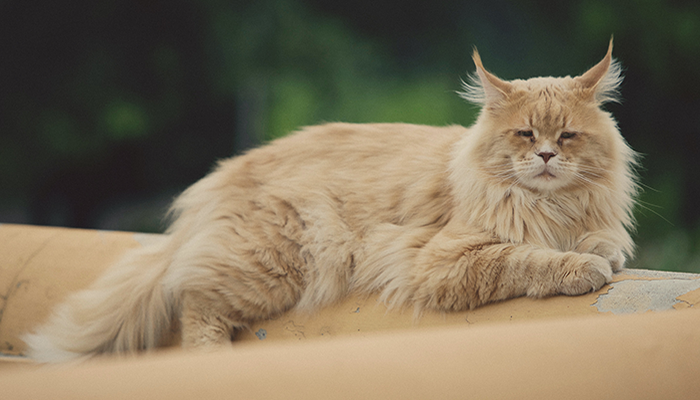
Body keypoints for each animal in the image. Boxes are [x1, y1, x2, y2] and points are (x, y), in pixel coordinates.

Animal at [23, 40, 636, 362]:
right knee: (195, 301)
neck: (551, 207)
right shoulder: (443, 260)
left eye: (568, 137)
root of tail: (223, 178)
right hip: (276, 261)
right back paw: (212, 359)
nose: (547, 157)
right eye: (525, 135)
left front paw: (599, 249)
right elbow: (528, 258)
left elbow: (598, 239)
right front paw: (583, 266)